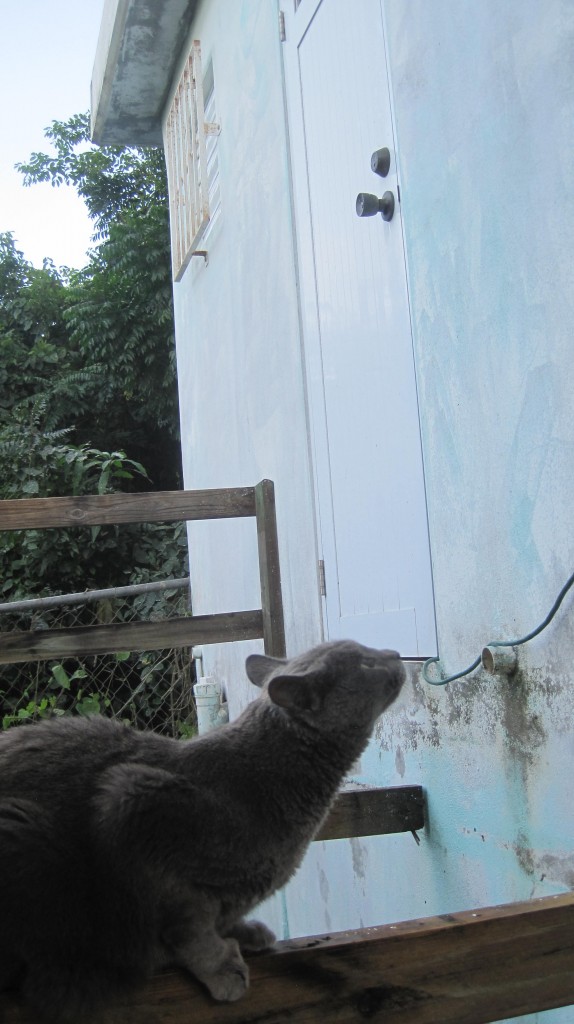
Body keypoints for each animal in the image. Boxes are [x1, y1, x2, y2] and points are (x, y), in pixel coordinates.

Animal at [0, 638, 403, 1015]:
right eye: (366, 663)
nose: (397, 654)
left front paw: (245, 931)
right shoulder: (133, 802)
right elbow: (187, 924)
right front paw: (222, 966)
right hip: (26, 834)